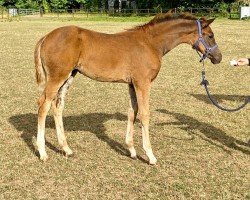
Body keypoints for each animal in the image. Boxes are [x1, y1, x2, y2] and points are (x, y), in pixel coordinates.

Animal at [34, 11, 222, 164]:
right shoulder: (143, 82)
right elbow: (145, 114)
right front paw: (150, 155)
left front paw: (131, 150)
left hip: (69, 76)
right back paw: (43, 153)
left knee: (57, 106)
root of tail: (46, 37)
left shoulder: (132, 84)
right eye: (210, 35)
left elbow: (133, 111)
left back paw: (66, 149)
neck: (150, 43)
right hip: (57, 76)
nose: (218, 57)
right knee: (43, 104)